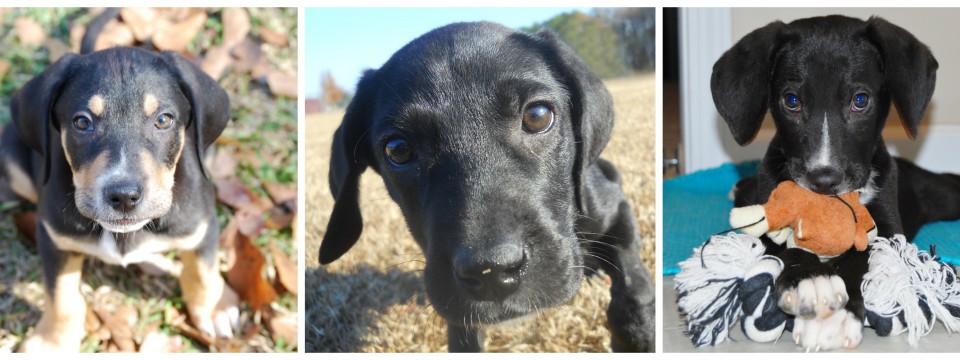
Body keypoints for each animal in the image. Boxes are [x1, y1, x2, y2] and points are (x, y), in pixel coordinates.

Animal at [3, 29, 236, 350]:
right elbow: (61, 297)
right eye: (82, 122)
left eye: (163, 119)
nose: (124, 197)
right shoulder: (54, 239)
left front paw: (213, 308)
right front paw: (52, 343)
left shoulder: (201, 226)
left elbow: (202, 271)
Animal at [318, 21, 656, 352]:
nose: (492, 273)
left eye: (537, 116)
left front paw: (637, 333)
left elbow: (633, 276)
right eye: (398, 150)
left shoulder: (615, 205)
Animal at [712, 15, 960, 350]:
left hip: (942, 195)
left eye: (860, 100)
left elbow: (859, 259)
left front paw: (833, 318)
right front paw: (813, 282)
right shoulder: (767, 225)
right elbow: (788, 249)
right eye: (791, 101)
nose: (824, 179)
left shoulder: (887, 231)